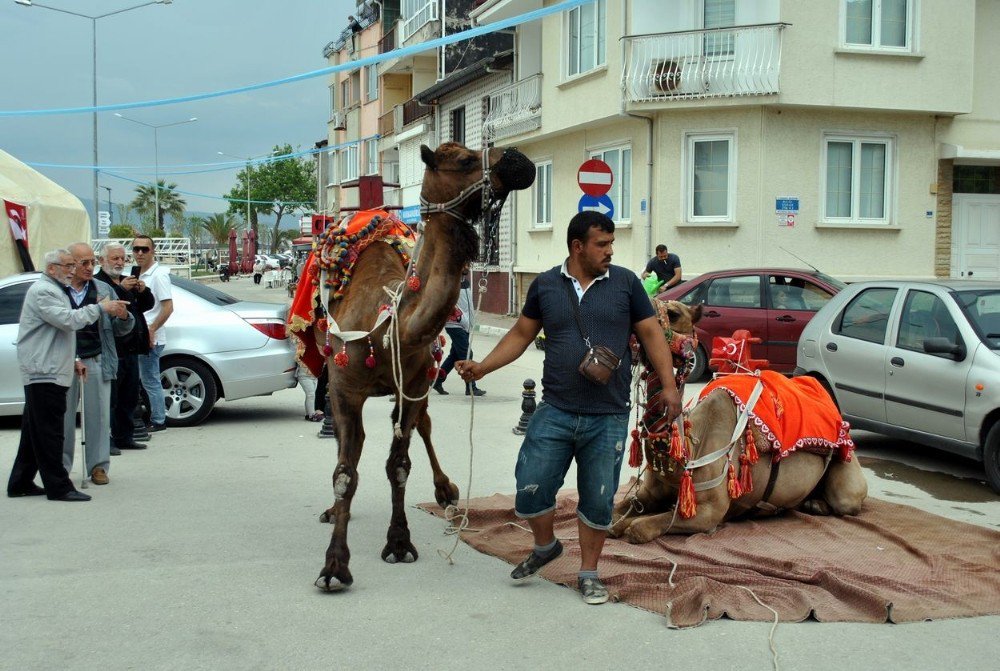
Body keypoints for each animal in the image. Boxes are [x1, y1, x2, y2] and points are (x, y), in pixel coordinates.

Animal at [604, 302, 872, 544]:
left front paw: (630, 526)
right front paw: (616, 522)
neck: (690, 450)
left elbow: (639, 527)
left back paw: (815, 505)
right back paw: (809, 503)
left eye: (673, 313)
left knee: (847, 500)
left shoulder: (709, 511)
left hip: (846, 467)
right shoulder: (649, 494)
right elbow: (615, 515)